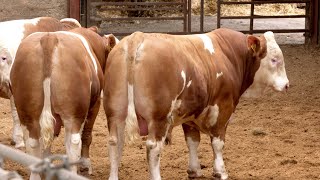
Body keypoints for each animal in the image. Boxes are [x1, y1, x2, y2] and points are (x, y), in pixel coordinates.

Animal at [10, 26, 117, 179]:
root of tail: (49, 38)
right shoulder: (94, 105)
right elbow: (86, 135)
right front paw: (85, 164)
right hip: (74, 113)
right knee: (73, 142)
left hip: (27, 113)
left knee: (33, 142)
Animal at [104, 27, 288, 179]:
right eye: (274, 59)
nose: (286, 85)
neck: (229, 55)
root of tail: (137, 37)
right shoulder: (223, 108)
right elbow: (218, 143)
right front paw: (220, 171)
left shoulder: (190, 113)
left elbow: (192, 141)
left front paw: (194, 170)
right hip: (159, 117)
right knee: (153, 148)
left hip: (115, 112)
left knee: (115, 142)